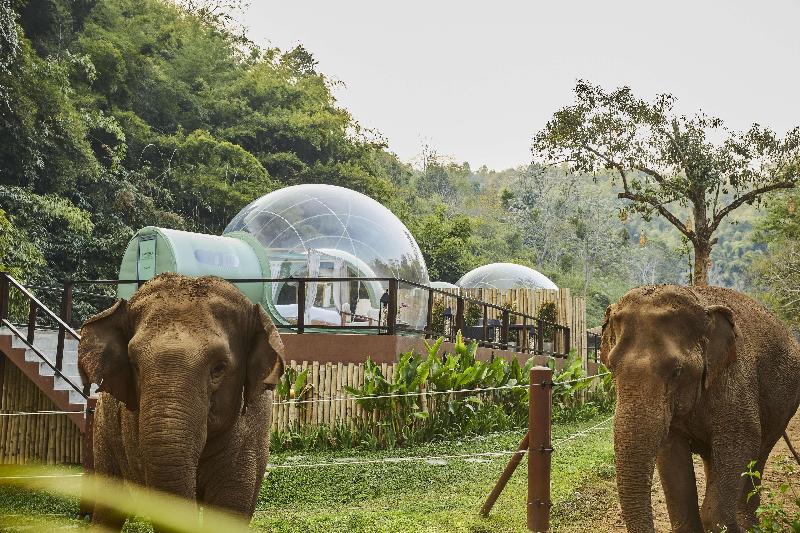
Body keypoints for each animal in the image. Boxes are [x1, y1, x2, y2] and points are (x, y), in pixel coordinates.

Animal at [78, 273, 285, 529]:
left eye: (219, 368)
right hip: (103, 431)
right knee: (109, 508)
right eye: (134, 365)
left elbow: (229, 511)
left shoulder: (251, 433)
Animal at [601, 285, 800, 533]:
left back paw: (748, 525)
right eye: (611, 367)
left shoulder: (735, 377)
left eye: (676, 371)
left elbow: (741, 440)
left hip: (785, 407)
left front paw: (726, 526)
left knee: (760, 453)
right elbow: (671, 453)